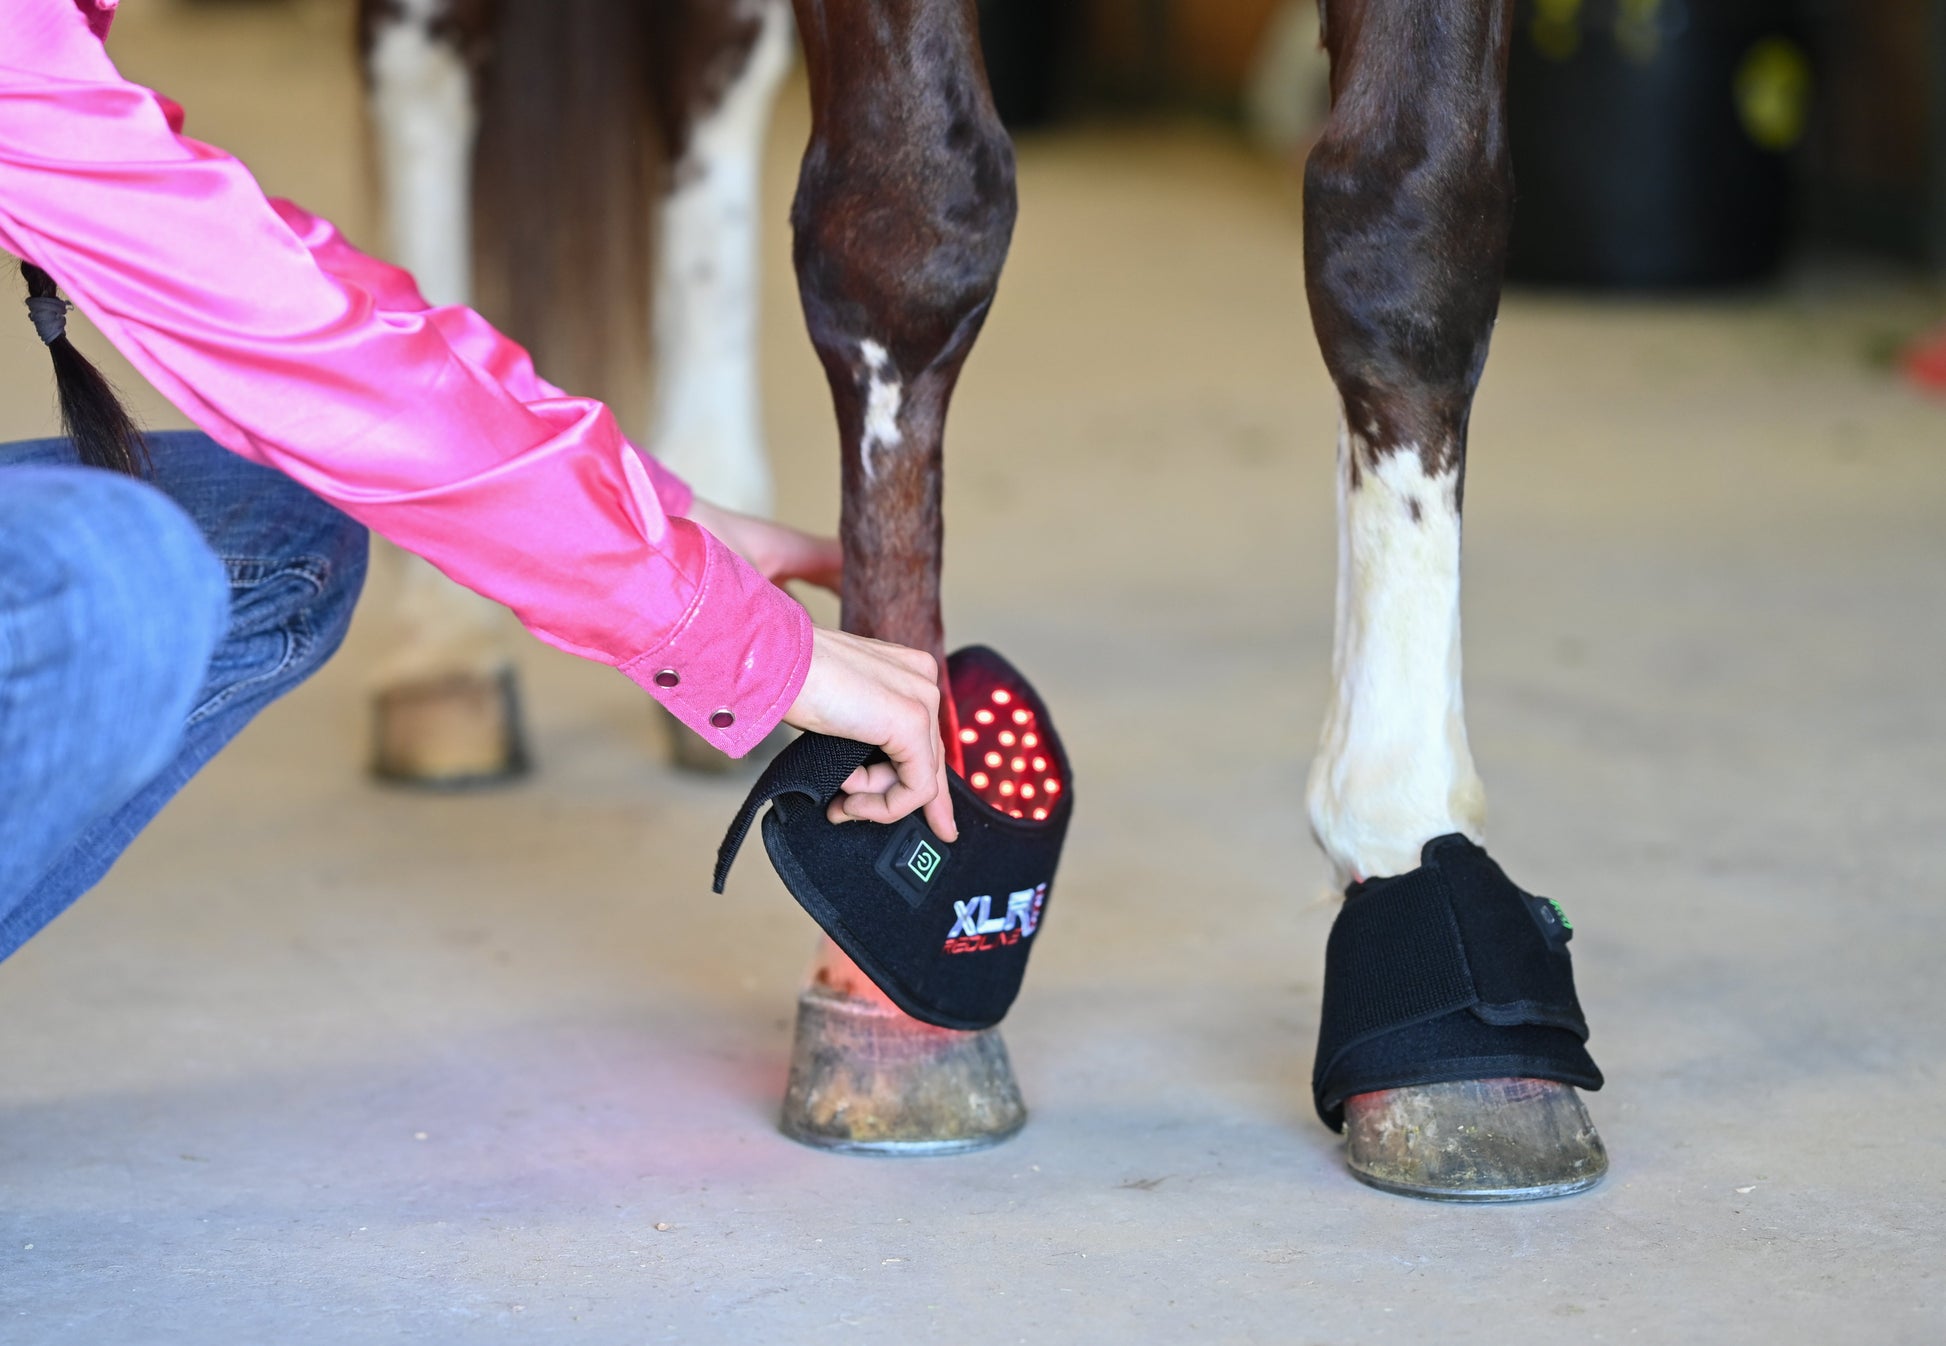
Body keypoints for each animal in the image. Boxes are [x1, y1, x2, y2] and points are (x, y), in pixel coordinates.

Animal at [356, 0, 1605, 1198]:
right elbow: (910, 226)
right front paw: (880, 985)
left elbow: (1409, 230)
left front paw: (1412, 869)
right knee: (423, 61)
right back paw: (440, 633)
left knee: (710, 67)